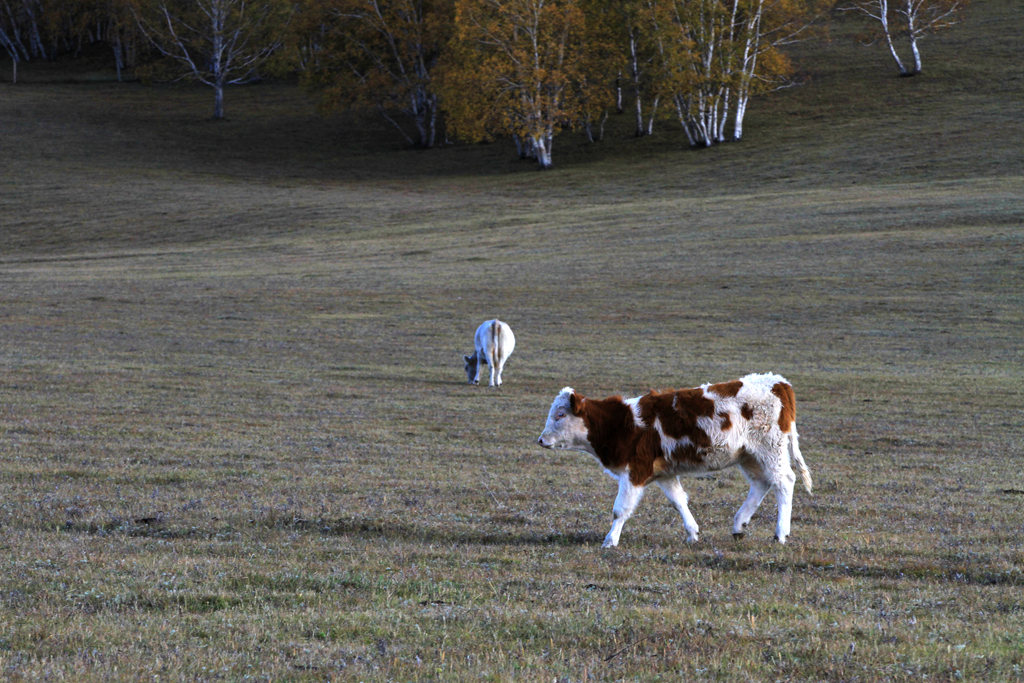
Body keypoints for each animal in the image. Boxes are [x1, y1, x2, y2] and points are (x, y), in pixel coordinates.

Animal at [536, 370, 815, 548]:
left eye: (560, 414)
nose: (541, 440)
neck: (621, 424)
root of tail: (778, 382)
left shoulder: (634, 472)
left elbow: (620, 510)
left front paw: (610, 540)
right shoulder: (664, 474)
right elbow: (679, 502)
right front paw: (693, 533)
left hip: (770, 450)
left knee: (784, 482)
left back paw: (780, 533)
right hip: (750, 456)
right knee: (762, 483)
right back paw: (739, 524)